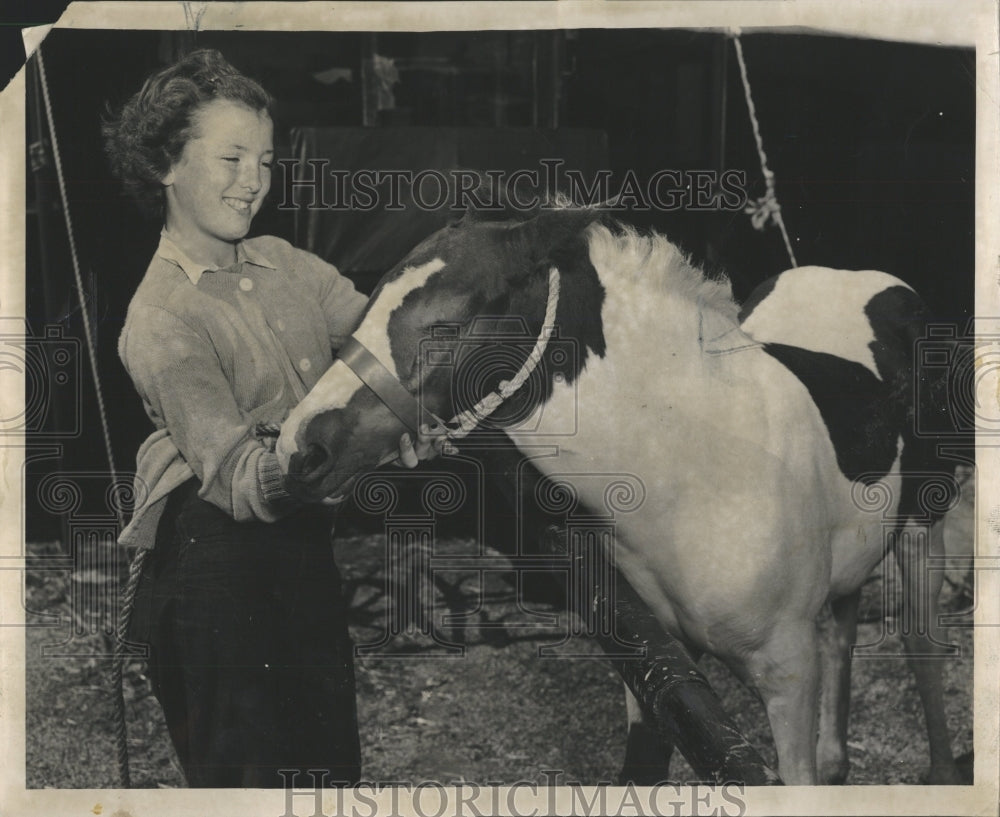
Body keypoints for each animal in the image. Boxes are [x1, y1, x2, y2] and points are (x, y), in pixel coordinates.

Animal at [278, 209, 964, 784]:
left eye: (444, 323)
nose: (299, 448)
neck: (698, 472)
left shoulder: (786, 676)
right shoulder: (659, 671)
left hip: (924, 527)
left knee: (924, 648)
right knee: (843, 627)